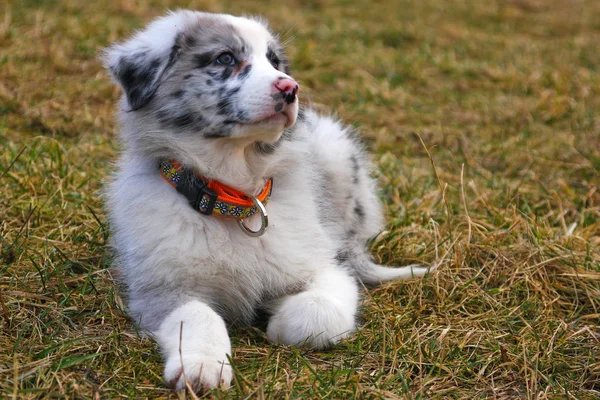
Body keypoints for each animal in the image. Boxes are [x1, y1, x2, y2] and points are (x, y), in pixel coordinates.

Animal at [104, 10, 432, 394]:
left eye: (274, 61)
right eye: (225, 59)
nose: (291, 89)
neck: (235, 197)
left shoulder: (324, 267)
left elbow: (319, 309)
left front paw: (279, 322)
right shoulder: (161, 289)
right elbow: (198, 315)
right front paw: (201, 365)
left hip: (335, 151)